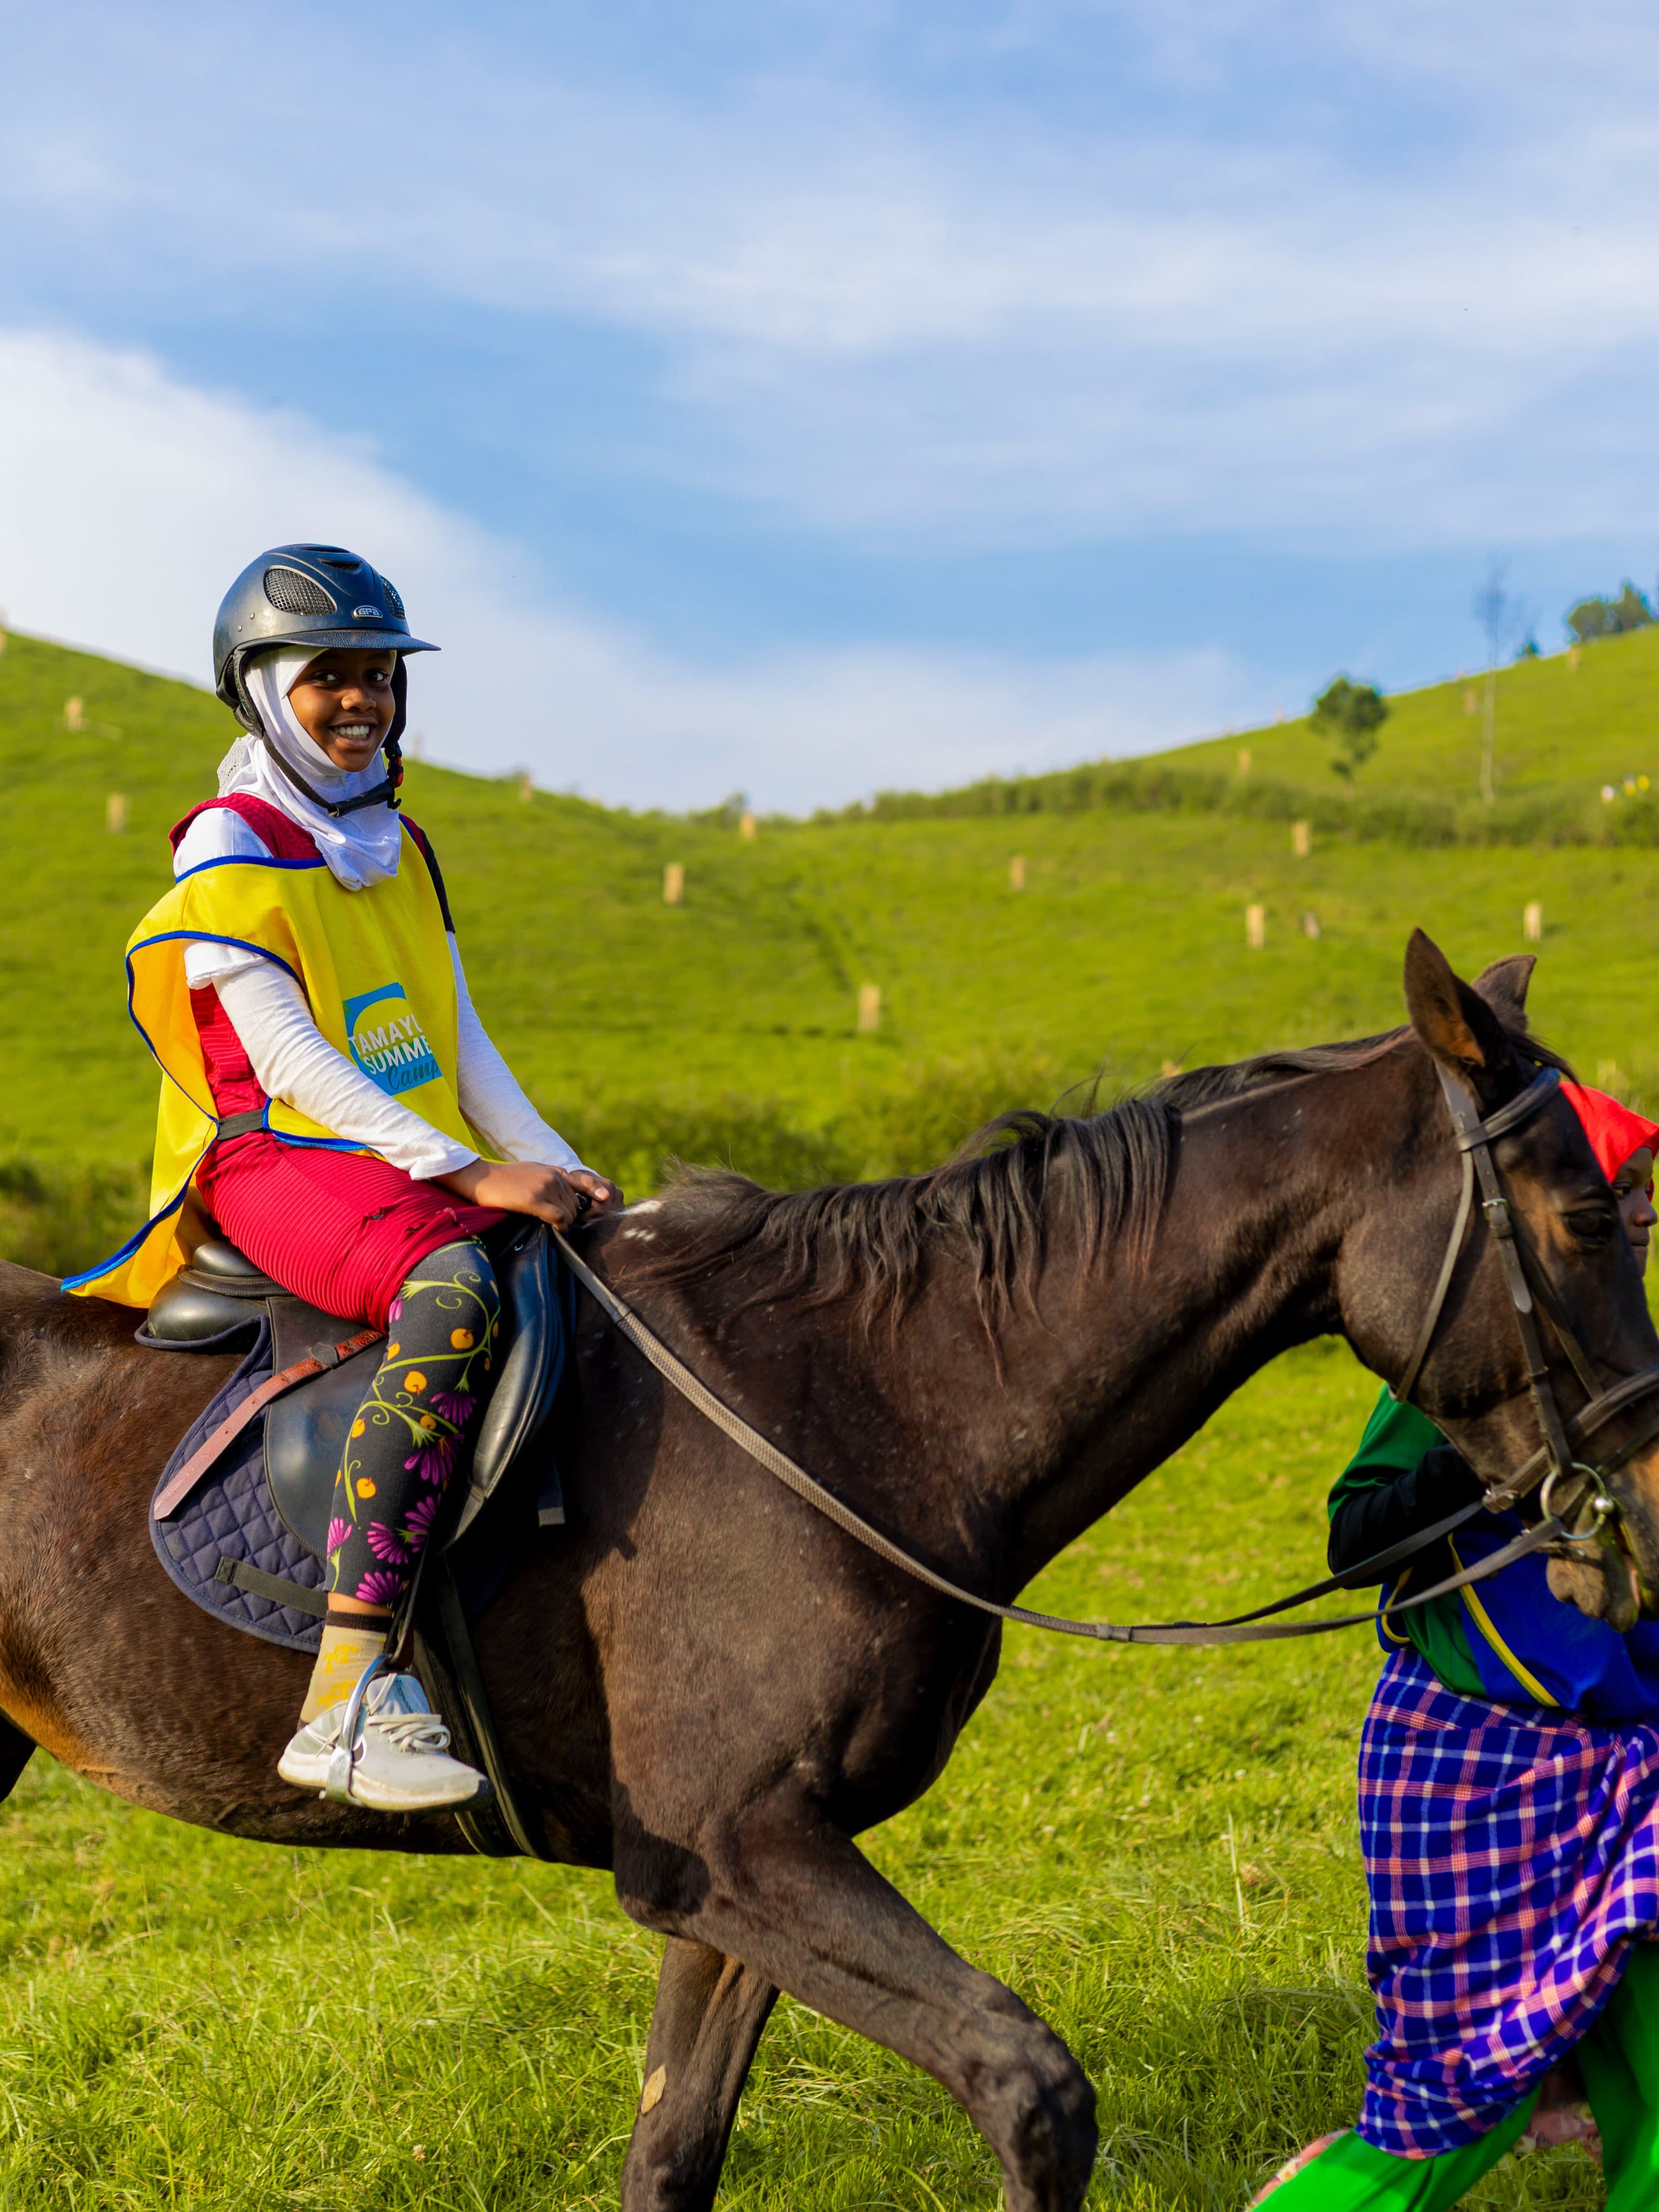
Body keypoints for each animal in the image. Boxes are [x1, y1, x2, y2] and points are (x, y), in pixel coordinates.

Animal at [0, 930, 1657, 2212]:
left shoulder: (727, 1880)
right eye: (1586, 1215)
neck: (859, 1399)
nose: (1643, 1502)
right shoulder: (734, 1848)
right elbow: (1031, 2089)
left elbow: (672, 2156)